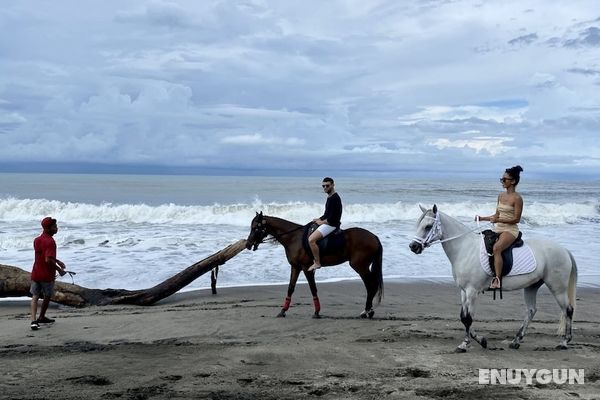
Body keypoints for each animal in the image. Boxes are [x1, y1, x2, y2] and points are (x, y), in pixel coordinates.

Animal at [245, 212, 382, 318]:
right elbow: (290, 288)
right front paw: (283, 311)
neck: (294, 238)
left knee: (371, 285)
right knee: (371, 285)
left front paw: (316, 312)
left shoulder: (307, 268)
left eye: (255, 227)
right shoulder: (295, 267)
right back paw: (368, 311)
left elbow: (313, 288)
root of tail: (374, 237)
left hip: (360, 266)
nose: (248, 244)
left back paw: (367, 312)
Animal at [408, 205, 576, 352]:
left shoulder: (472, 291)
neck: (465, 248)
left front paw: (464, 344)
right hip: (531, 286)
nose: (413, 246)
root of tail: (564, 250)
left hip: (557, 288)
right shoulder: (464, 291)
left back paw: (564, 342)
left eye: (428, 226)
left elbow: (468, 318)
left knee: (567, 310)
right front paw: (481, 340)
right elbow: (464, 317)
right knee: (531, 310)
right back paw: (516, 341)